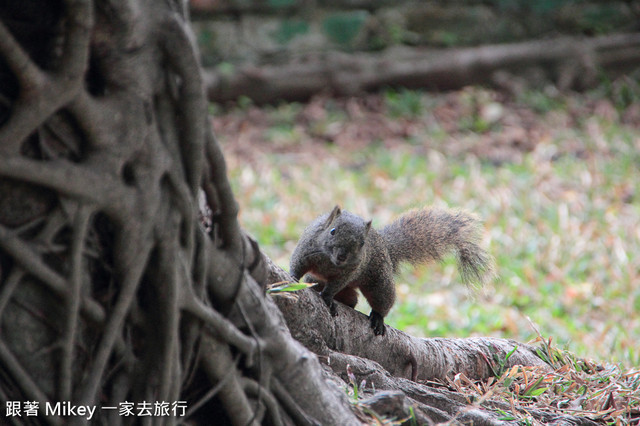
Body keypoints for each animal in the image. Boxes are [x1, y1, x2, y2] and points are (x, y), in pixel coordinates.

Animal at [290, 206, 496, 336]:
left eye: (362, 243)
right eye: (332, 231)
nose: (342, 256)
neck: (330, 262)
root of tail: (386, 247)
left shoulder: (347, 272)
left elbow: (334, 285)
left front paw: (327, 297)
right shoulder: (306, 251)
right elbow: (297, 265)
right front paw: (291, 280)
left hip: (380, 282)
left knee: (378, 300)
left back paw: (377, 318)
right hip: (319, 278)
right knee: (348, 296)